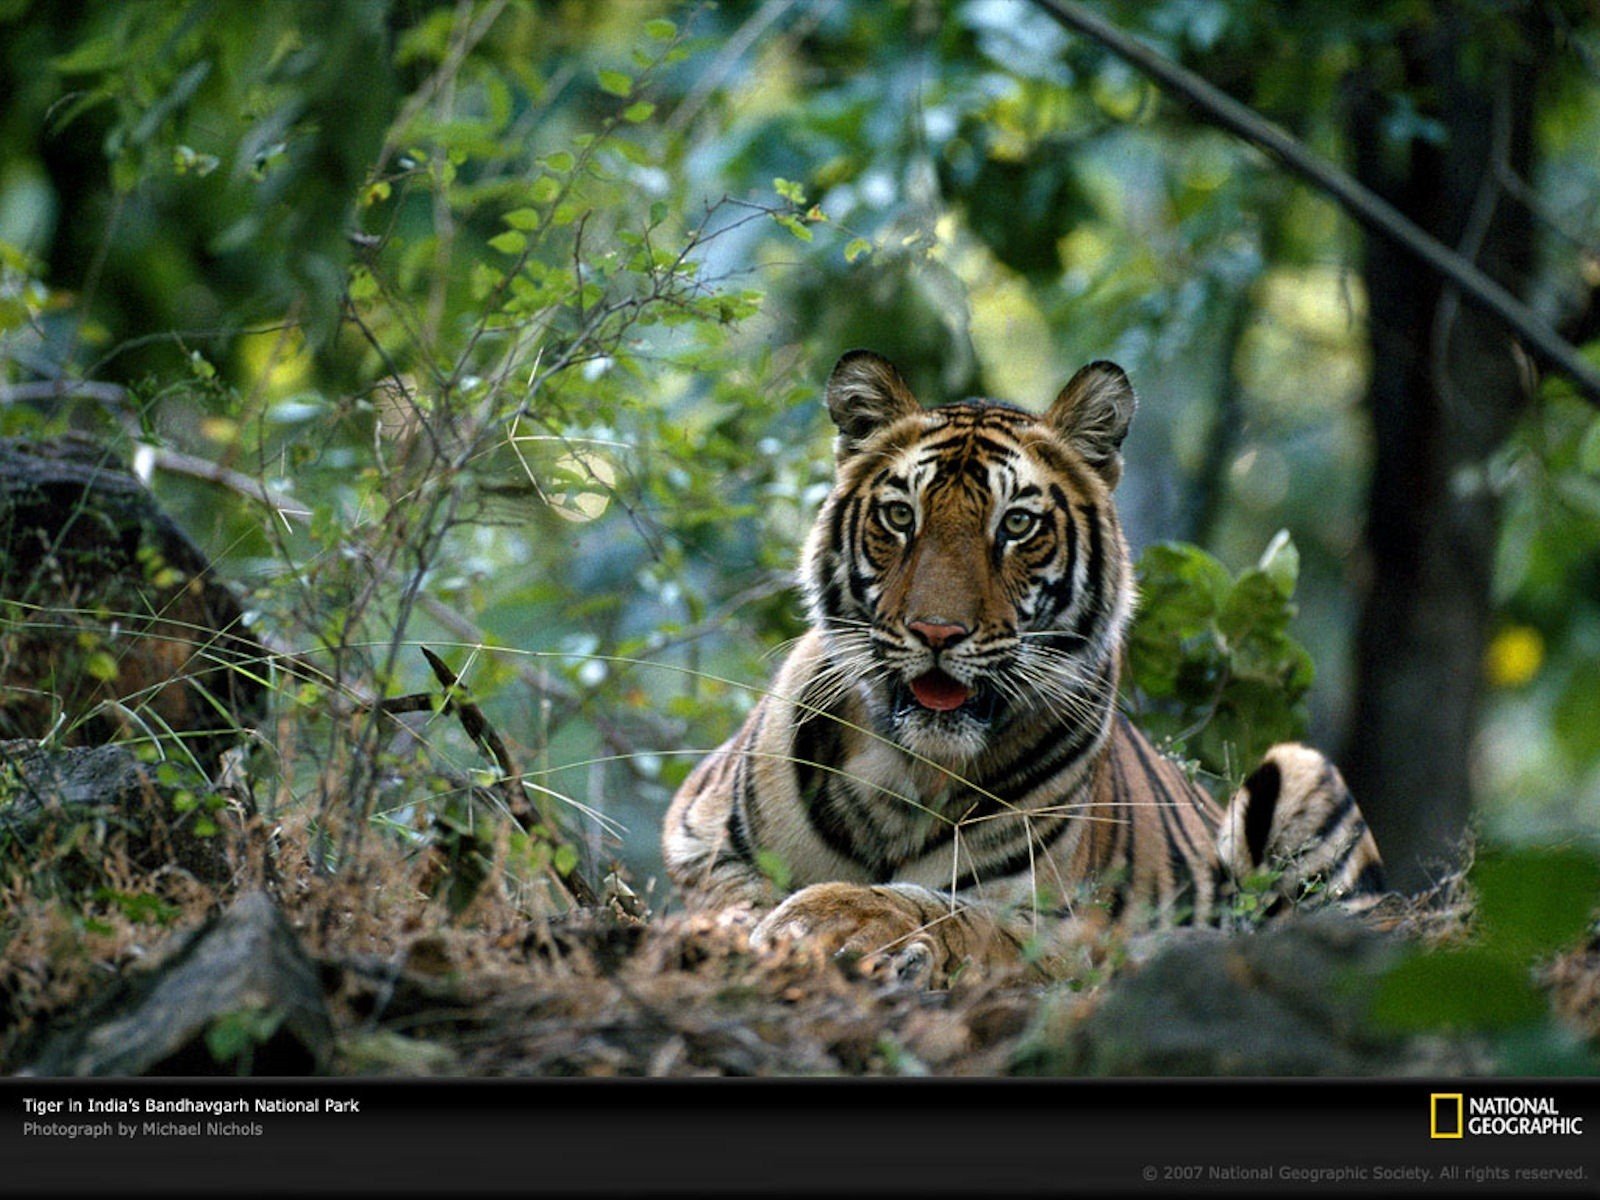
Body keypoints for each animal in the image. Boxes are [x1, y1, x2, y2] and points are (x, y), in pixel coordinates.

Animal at [664, 349, 1385, 986]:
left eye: (1015, 525)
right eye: (900, 516)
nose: (937, 632)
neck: (909, 777)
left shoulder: (1065, 925)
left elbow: (949, 912)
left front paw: (834, 918)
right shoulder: (694, 836)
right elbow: (732, 892)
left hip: (1301, 771)